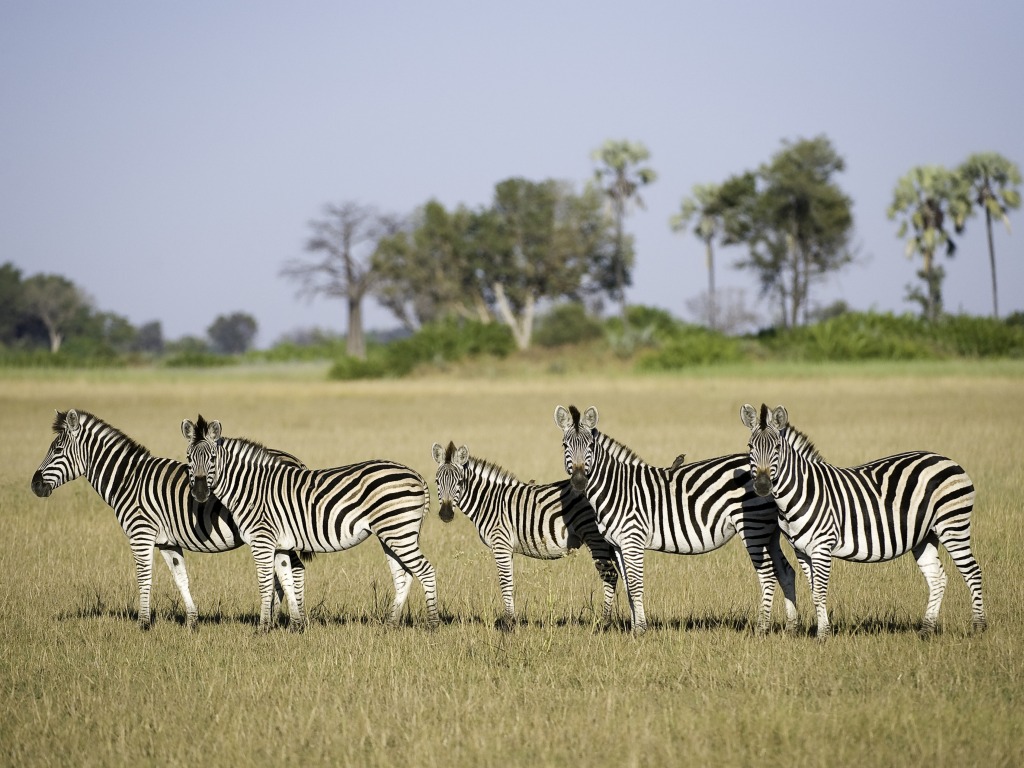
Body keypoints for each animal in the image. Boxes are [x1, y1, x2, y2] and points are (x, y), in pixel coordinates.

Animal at [30, 409, 307, 630]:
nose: (35, 485)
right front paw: (192, 621)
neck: (128, 480)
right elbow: (180, 578)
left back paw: (293, 620)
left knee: (295, 569)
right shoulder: (167, 542)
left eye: (57, 450)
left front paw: (143, 624)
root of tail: (295, 461)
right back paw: (280, 617)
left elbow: (144, 577)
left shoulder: (141, 534)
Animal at [182, 416, 439, 631]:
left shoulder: (262, 540)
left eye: (213, 458)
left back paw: (432, 624)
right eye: (189, 459)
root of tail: (416, 475)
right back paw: (391, 623)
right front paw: (296, 625)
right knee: (403, 575)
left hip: (398, 531)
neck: (251, 488)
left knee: (425, 571)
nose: (200, 493)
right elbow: (286, 579)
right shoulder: (281, 544)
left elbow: (265, 582)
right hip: (392, 533)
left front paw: (263, 627)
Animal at [432, 441, 618, 629]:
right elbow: (510, 582)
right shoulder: (506, 547)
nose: (446, 514)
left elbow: (505, 582)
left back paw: (605, 622)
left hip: (595, 537)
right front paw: (511, 619)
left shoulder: (500, 542)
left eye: (460, 482)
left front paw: (508, 622)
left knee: (610, 575)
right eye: (437, 481)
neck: (488, 501)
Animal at [555, 405, 798, 636]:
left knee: (767, 575)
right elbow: (628, 587)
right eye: (565, 446)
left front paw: (640, 630)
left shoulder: (632, 539)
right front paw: (633, 628)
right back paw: (791, 626)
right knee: (786, 572)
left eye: (590, 446)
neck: (616, 487)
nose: (578, 481)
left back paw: (762, 628)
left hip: (754, 527)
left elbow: (635, 584)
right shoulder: (618, 545)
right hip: (769, 532)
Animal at [741, 403, 986, 638]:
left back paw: (979, 627)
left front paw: (823, 635)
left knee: (973, 572)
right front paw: (821, 630)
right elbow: (813, 591)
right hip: (925, 535)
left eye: (777, 448)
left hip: (952, 525)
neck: (802, 491)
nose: (762, 486)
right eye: (750, 448)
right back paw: (926, 630)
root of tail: (948, 460)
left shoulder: (822, 546)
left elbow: (819, 592)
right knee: (937, 578)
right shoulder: (802, 550)